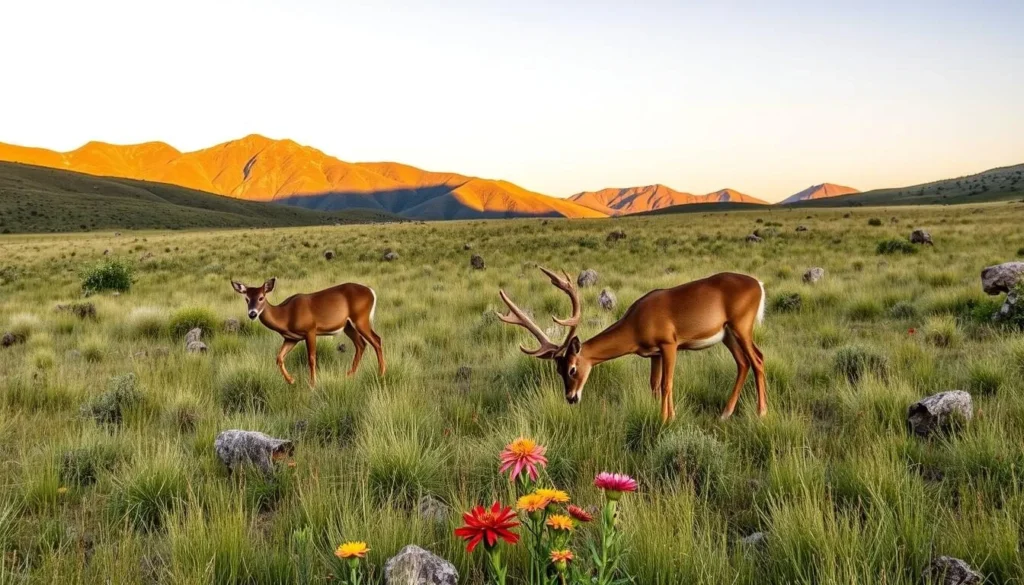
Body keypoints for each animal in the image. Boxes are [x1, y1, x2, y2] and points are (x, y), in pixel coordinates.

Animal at [230, 278, 385, 387]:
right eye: (246, 299)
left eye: (261, 297)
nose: (252, 314)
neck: (286, 315)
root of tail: (372, 292)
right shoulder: (291, 338)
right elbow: (279, 357)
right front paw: (291, 380)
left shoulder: (310, 330)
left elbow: (311, 358)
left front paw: (312, 384)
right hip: (348, 326)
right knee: (361, 344)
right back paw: (350, 374)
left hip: (360, 319)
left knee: (376, 340)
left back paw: (381, 373)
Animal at [498, 268, 766, 423]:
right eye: (558, 370)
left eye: (573, 368)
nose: (571, 398)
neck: (636, 324)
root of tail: (759, 284)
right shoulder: (654, 354)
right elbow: (655, 385)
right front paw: (666, 415)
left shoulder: (669, 343)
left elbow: (667, 384)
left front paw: (666, 420)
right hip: (727, 333)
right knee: (743, 363)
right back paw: (725, 413)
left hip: (742, 324)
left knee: (757, 360)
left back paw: (761, 412)